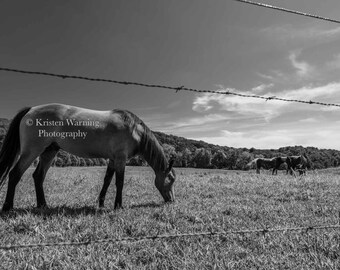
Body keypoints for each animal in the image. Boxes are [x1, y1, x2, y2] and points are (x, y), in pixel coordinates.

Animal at [0, 103, 175, 211]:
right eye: (171, 180)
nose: (172, 201)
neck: (134, 129)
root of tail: (31, 109)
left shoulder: (113, 160)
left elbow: (107, 181)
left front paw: (101, 203)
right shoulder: (120, 158)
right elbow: (119, 182)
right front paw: (118, 205)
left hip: (49, 151)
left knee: (38, 176)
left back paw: (43, 205)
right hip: (32, 151)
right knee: (15, 174)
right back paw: (8, 207)